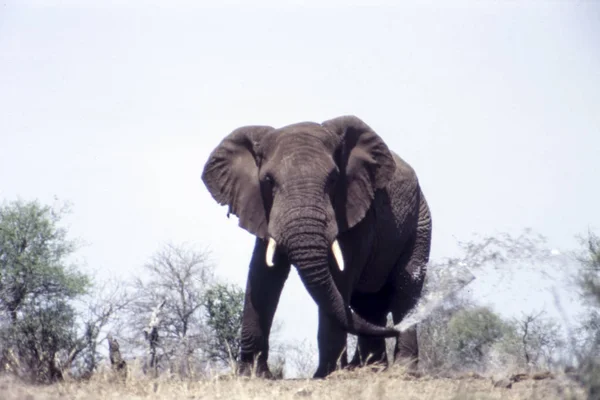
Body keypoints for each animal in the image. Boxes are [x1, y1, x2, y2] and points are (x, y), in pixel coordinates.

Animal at [202, 115, 432, 378]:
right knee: (367, 303)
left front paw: (326, 375)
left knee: (405, 287)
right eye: (268, 181)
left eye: (333, 179)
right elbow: (263, 276)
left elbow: (340, 276)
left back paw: (401, 371)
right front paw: (253, 375)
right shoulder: (263, 208)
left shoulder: (354, 210)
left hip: (420, 222)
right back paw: (368, 368)